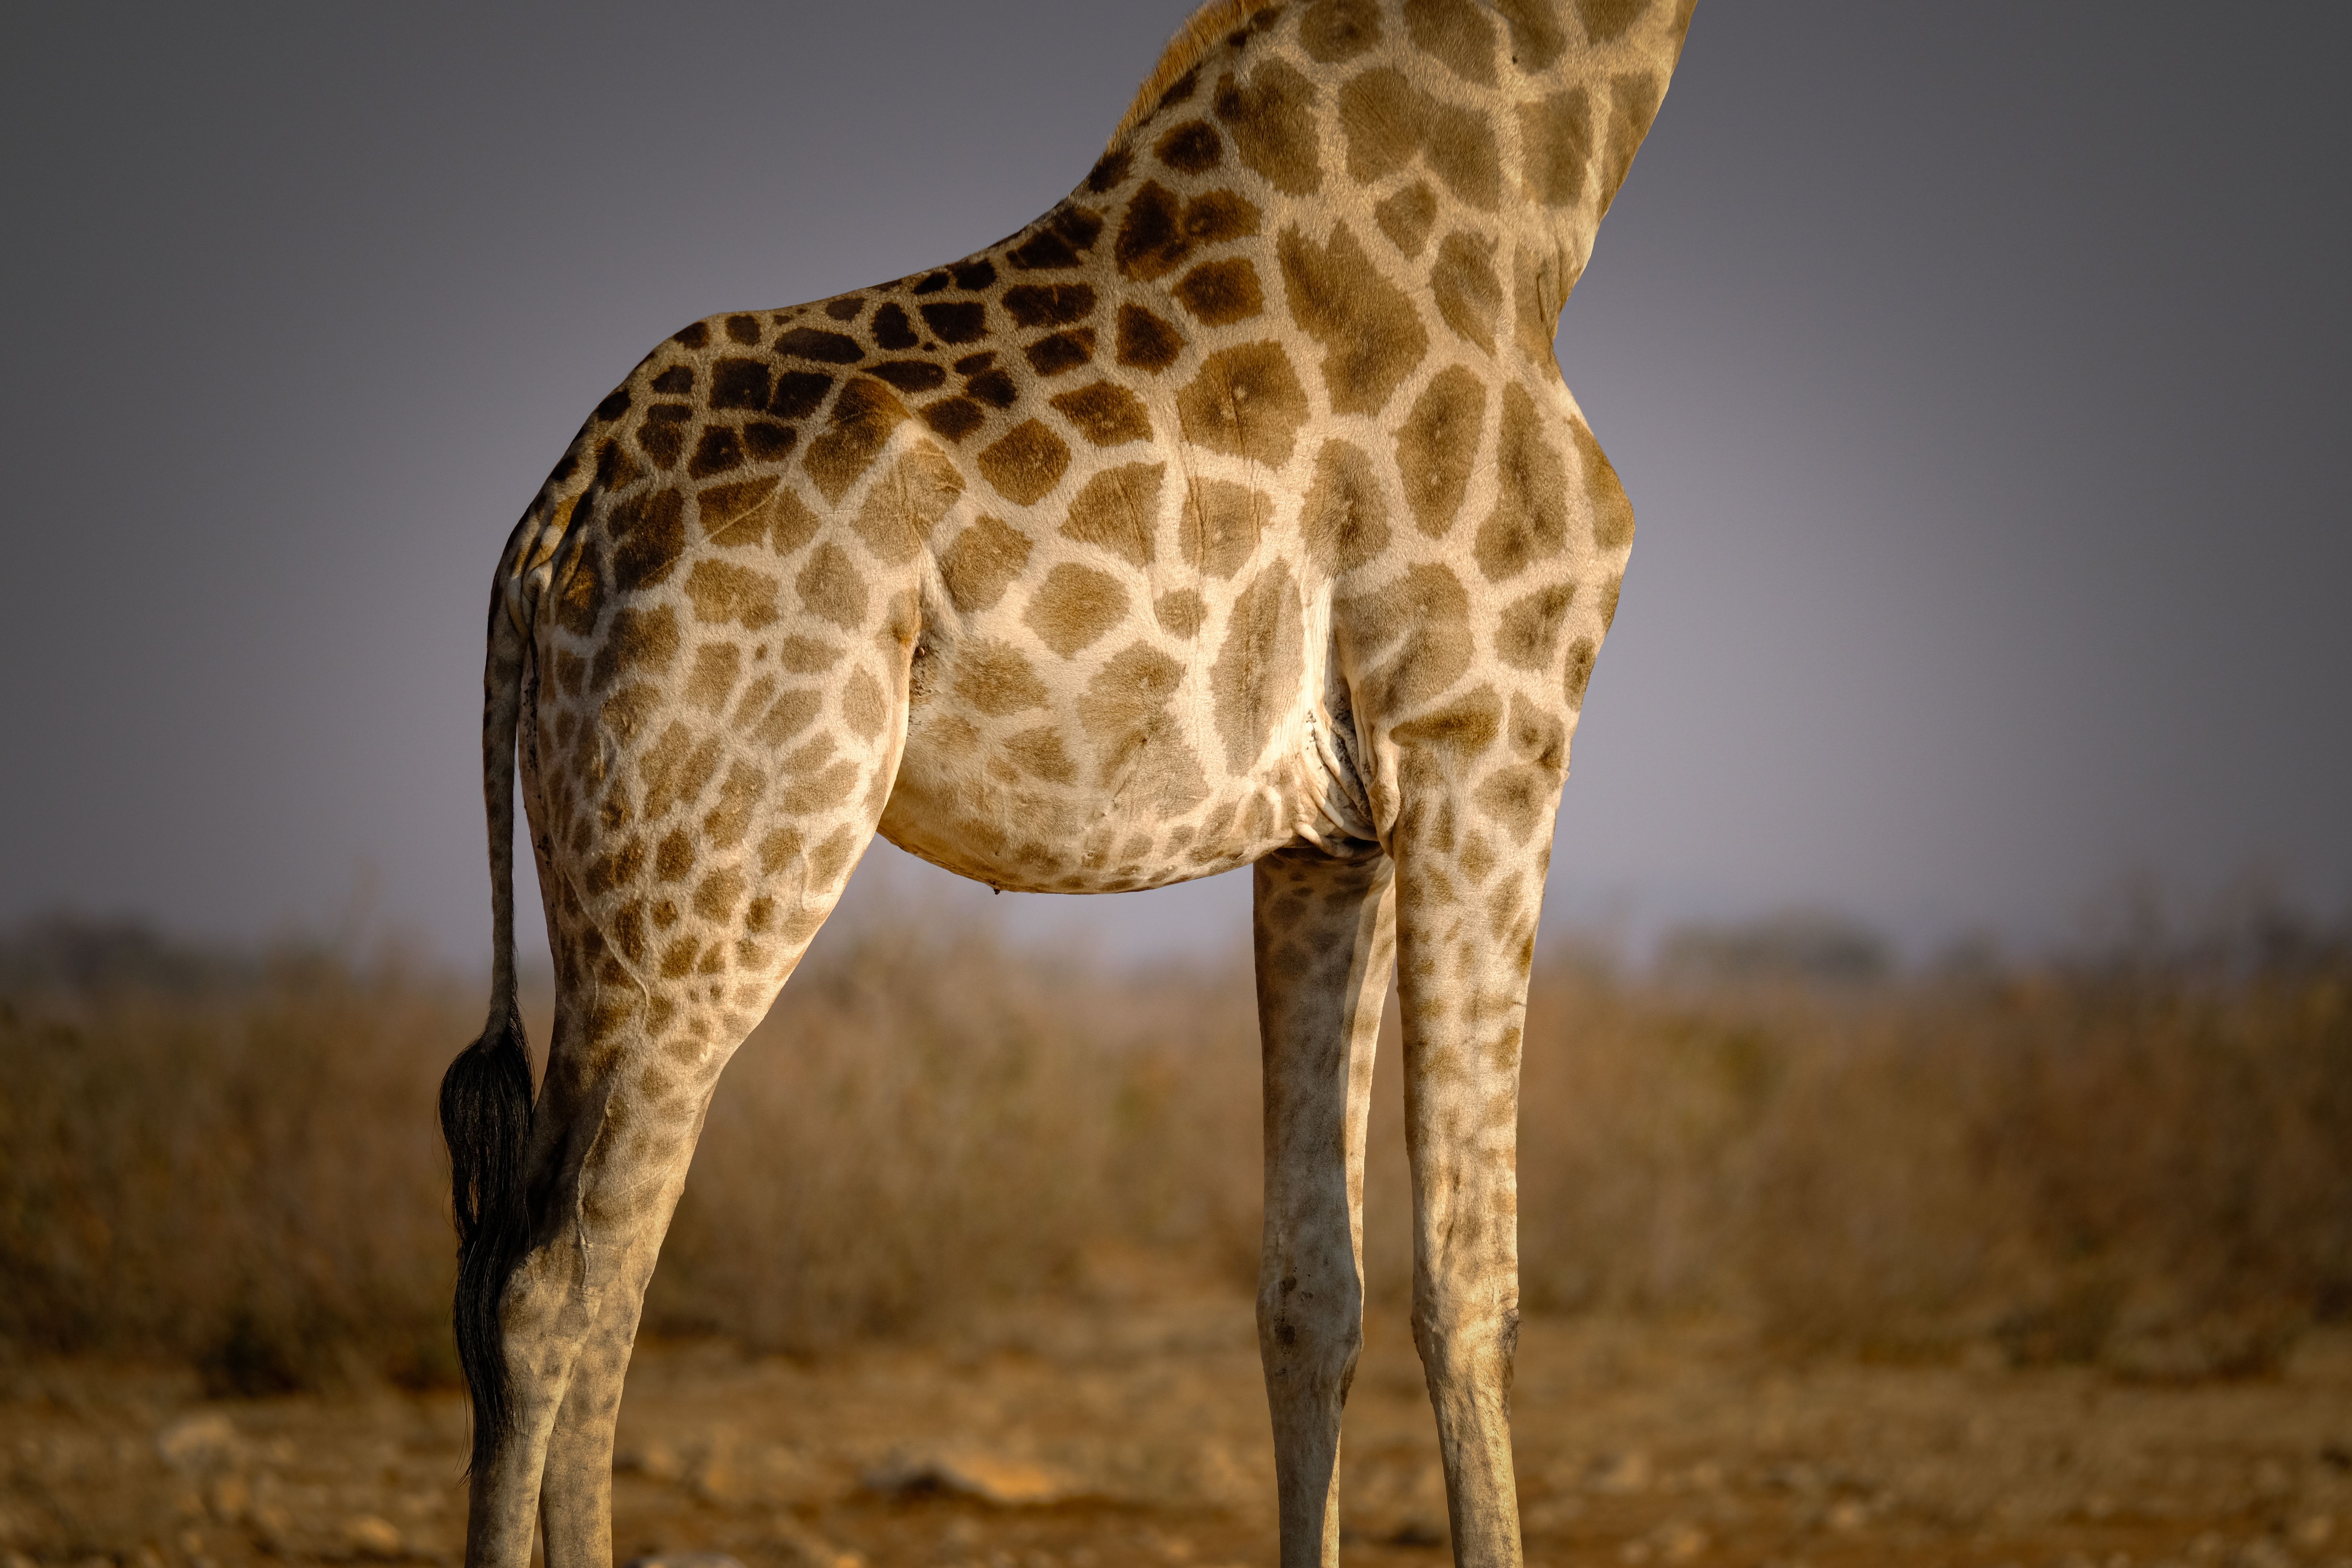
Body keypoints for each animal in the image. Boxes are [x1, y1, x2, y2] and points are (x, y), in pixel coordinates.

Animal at [439, 1, 1692, 1562]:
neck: (1540, 188)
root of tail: (552, 520)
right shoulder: (1490, 724)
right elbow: (1473, 1289)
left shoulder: (1331, 829)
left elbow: (1311, 1292)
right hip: (722, 870)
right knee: (557, 1292)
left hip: (600, 888)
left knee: (540, 1282)